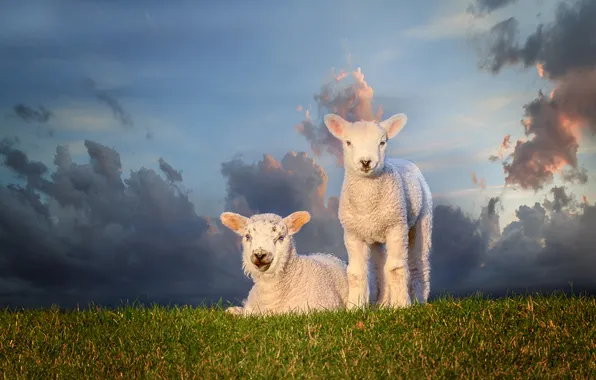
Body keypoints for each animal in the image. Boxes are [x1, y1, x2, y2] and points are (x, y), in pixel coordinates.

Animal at [326, 112, 434, 308]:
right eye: (348, 142)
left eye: (382, 142)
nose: (366, 162)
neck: (367, 204)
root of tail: (405, 161)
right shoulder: (352, 234)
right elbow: (356, 272)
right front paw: (354, 307)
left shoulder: (396, 227)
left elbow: (395, 268)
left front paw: (400, 306)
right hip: (375, 235)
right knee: (379, 268)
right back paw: (383, 303)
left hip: (422, 220)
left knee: (419, 262)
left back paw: (419, 300)